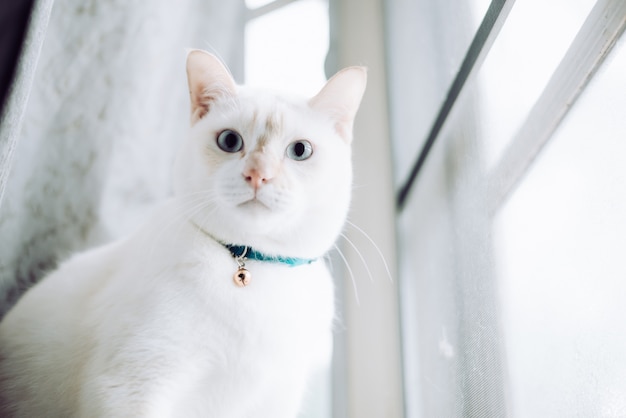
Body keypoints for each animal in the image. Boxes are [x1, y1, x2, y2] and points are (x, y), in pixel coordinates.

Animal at [0, 50, 366, 416]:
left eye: (300, 150)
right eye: (230, 141)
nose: (258, 174)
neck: (253, 269)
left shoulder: (275, 400)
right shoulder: (132, 389)